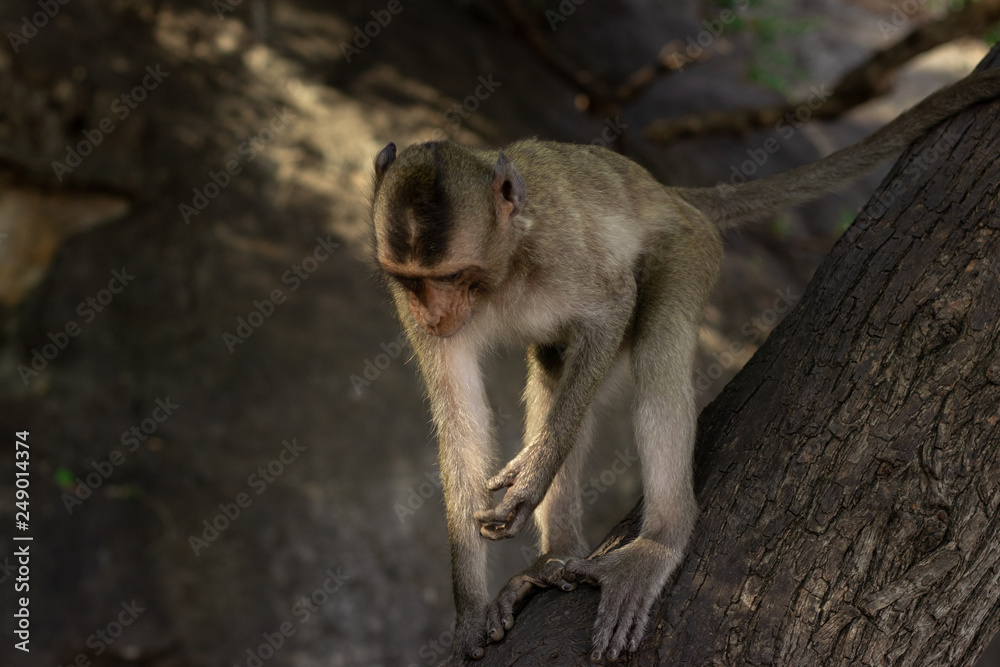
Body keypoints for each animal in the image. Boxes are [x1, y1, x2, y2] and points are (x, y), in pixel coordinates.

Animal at [368, 68, 1000, 664]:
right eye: (412, 281)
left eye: (451, 276)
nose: (434, 314)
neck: (498, 276)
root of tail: (661, 189)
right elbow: (461, 421)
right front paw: (470, 612)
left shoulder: (561, 251)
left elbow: (613, 307)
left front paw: (532, 477)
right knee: (554, 363)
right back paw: (554, 559)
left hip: (690, 245)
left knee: (654, 350)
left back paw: (660, 540)